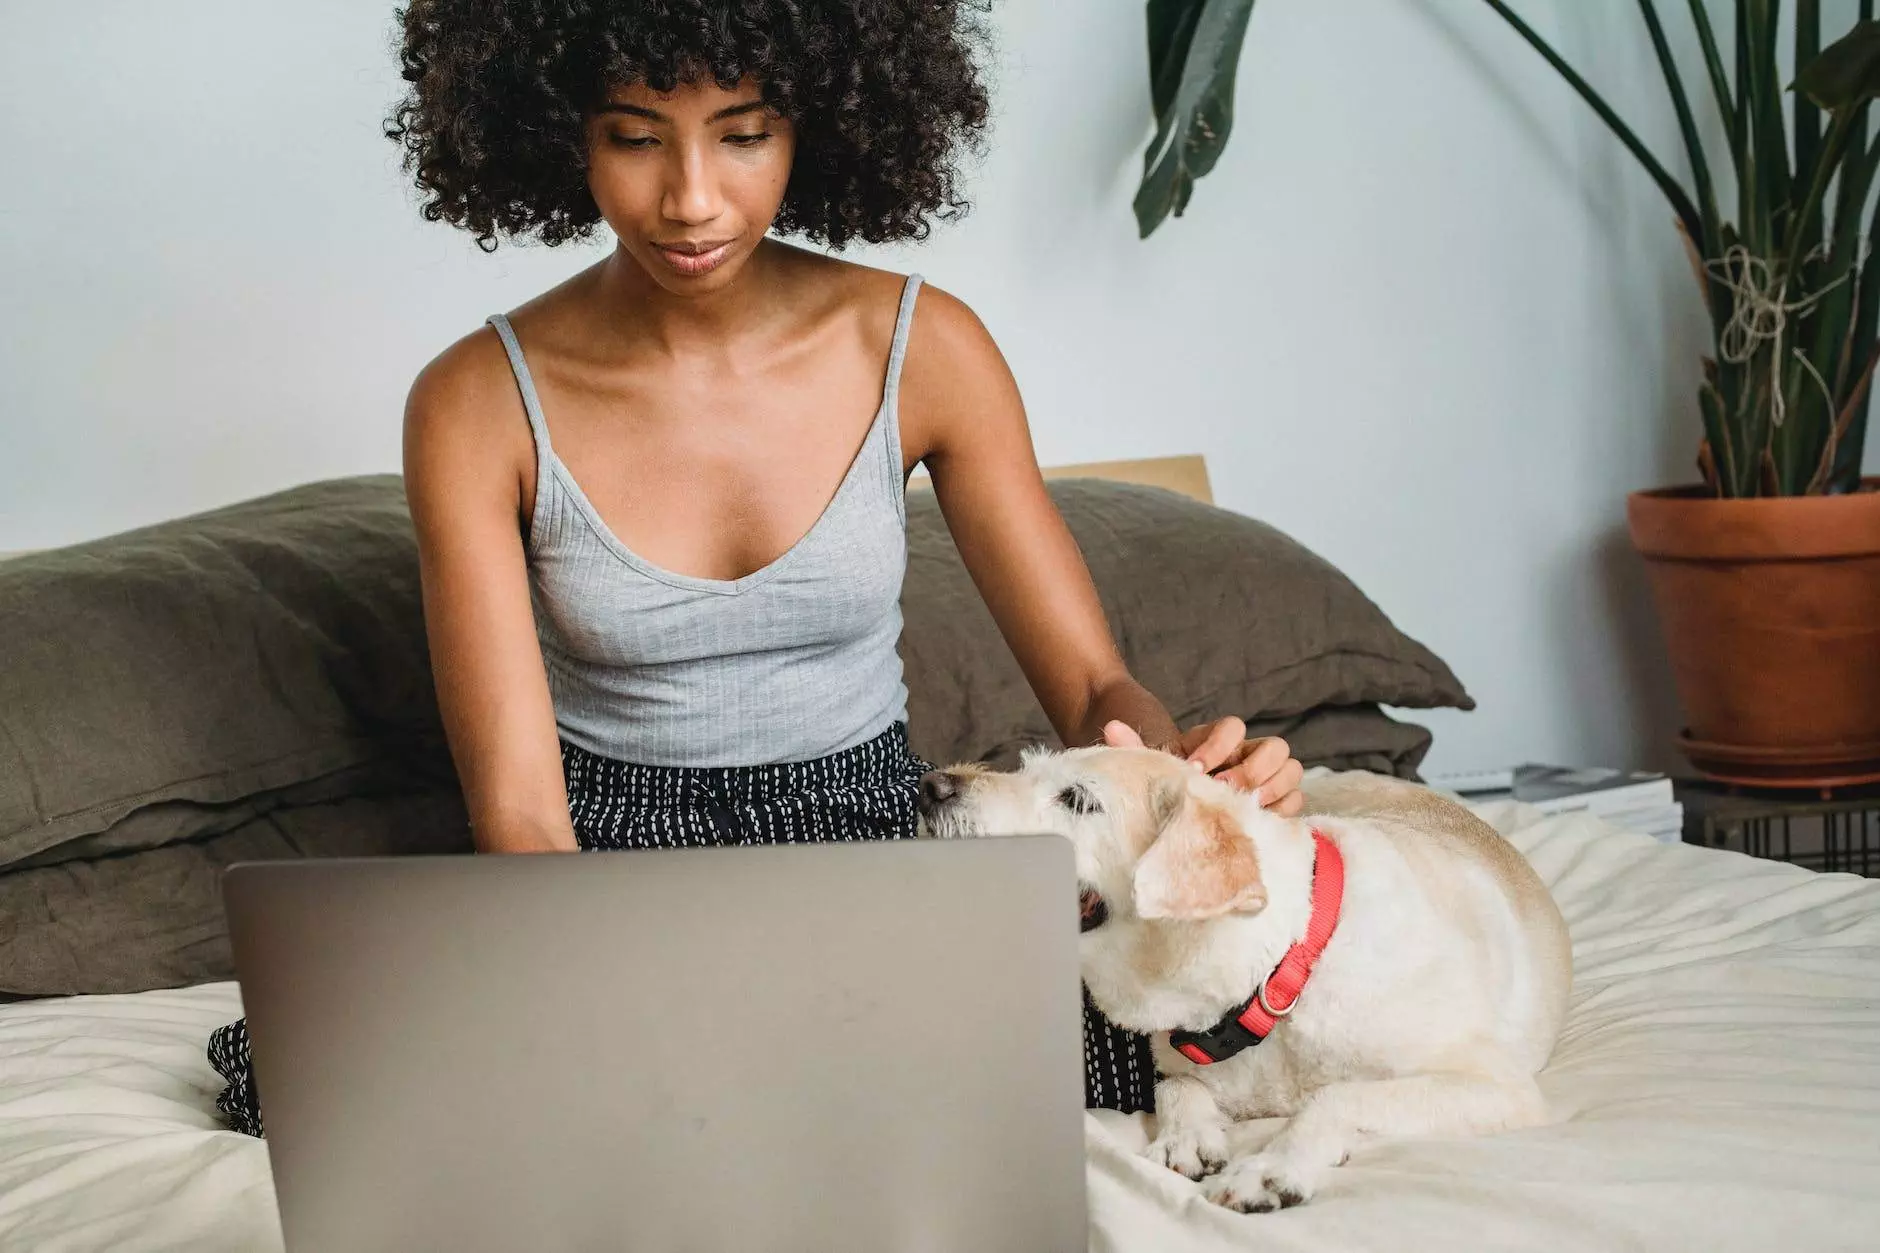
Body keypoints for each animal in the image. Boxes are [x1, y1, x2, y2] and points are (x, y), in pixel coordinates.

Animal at [913, 741, 1571, 1211]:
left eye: (1076, 799)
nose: (930, 787)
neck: (1277, 976)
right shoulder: (1182, 1060)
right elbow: (1176, 1087)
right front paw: (1186, 1137)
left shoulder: (1498, 1087)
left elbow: (1338, 1096)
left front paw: (1272, 1168)